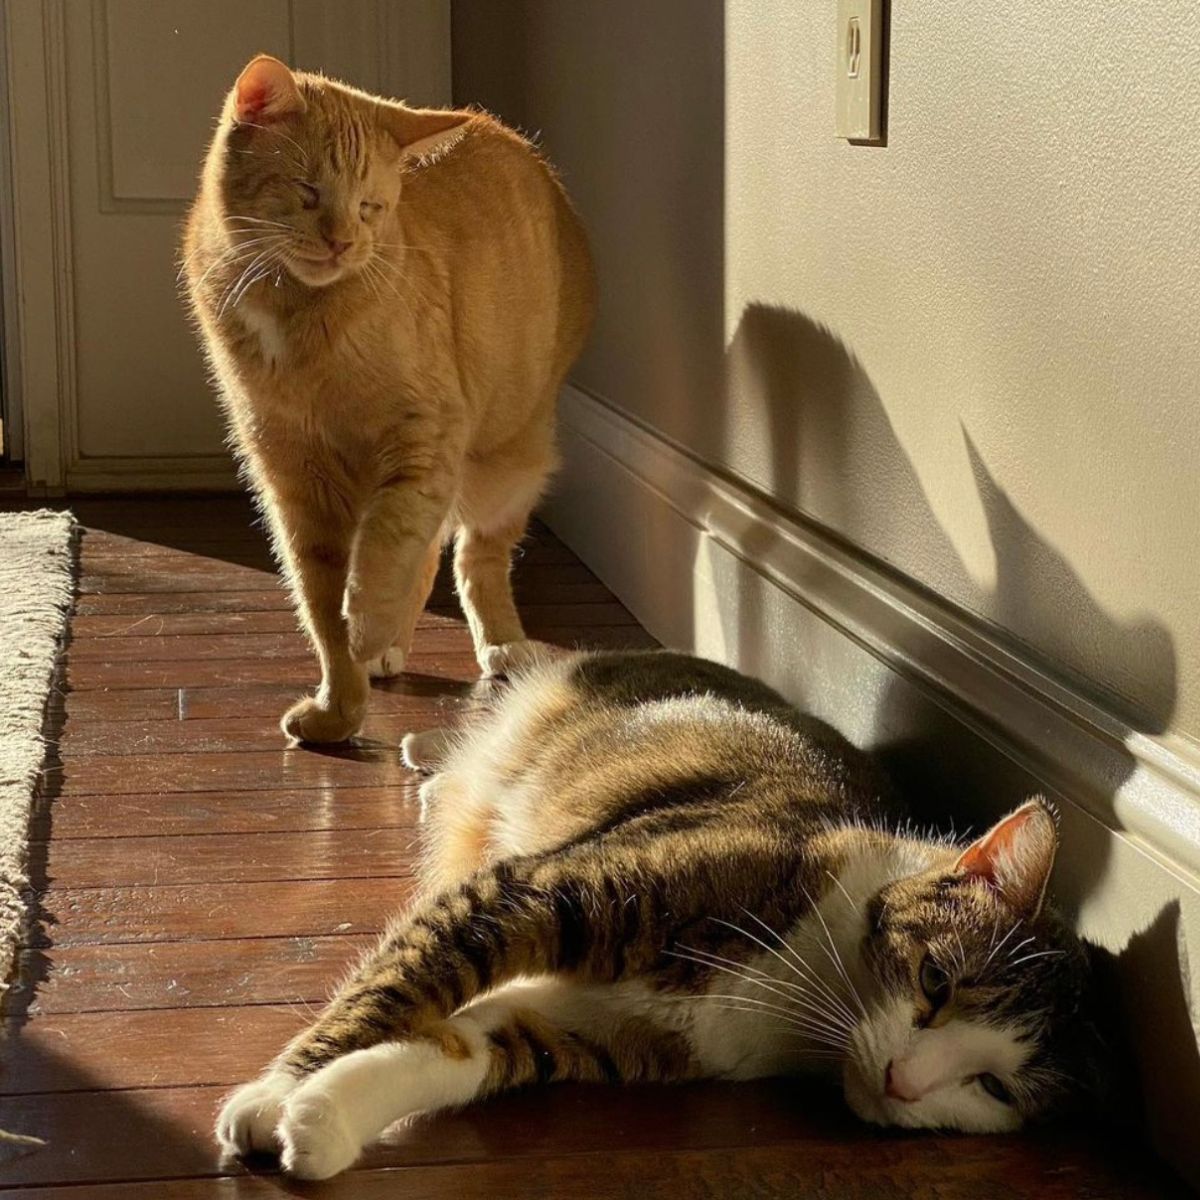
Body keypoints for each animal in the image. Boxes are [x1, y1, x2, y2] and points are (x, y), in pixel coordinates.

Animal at [180, 60, 592, 744]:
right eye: (308, 192)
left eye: (370, 207)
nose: (343, 242)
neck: (295, 315)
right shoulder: (296, 484)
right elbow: (324, 607)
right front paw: (339, 709)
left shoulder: (425, 437)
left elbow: (387, 547)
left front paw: (367, 623)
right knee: (426, 555)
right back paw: (387, 648)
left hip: (508, 460)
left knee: (474, 556)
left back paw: (500, 643)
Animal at [218, 652, 1104, 1176]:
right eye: (935, 982)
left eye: (993, 1088)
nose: (903, 1084)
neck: (793, 994)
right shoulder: (542, 892)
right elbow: (394, 988)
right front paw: (271, 1095)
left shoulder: (591, 1030)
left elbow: (458, 1046)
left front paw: (322, 1117)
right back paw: (431, 743)